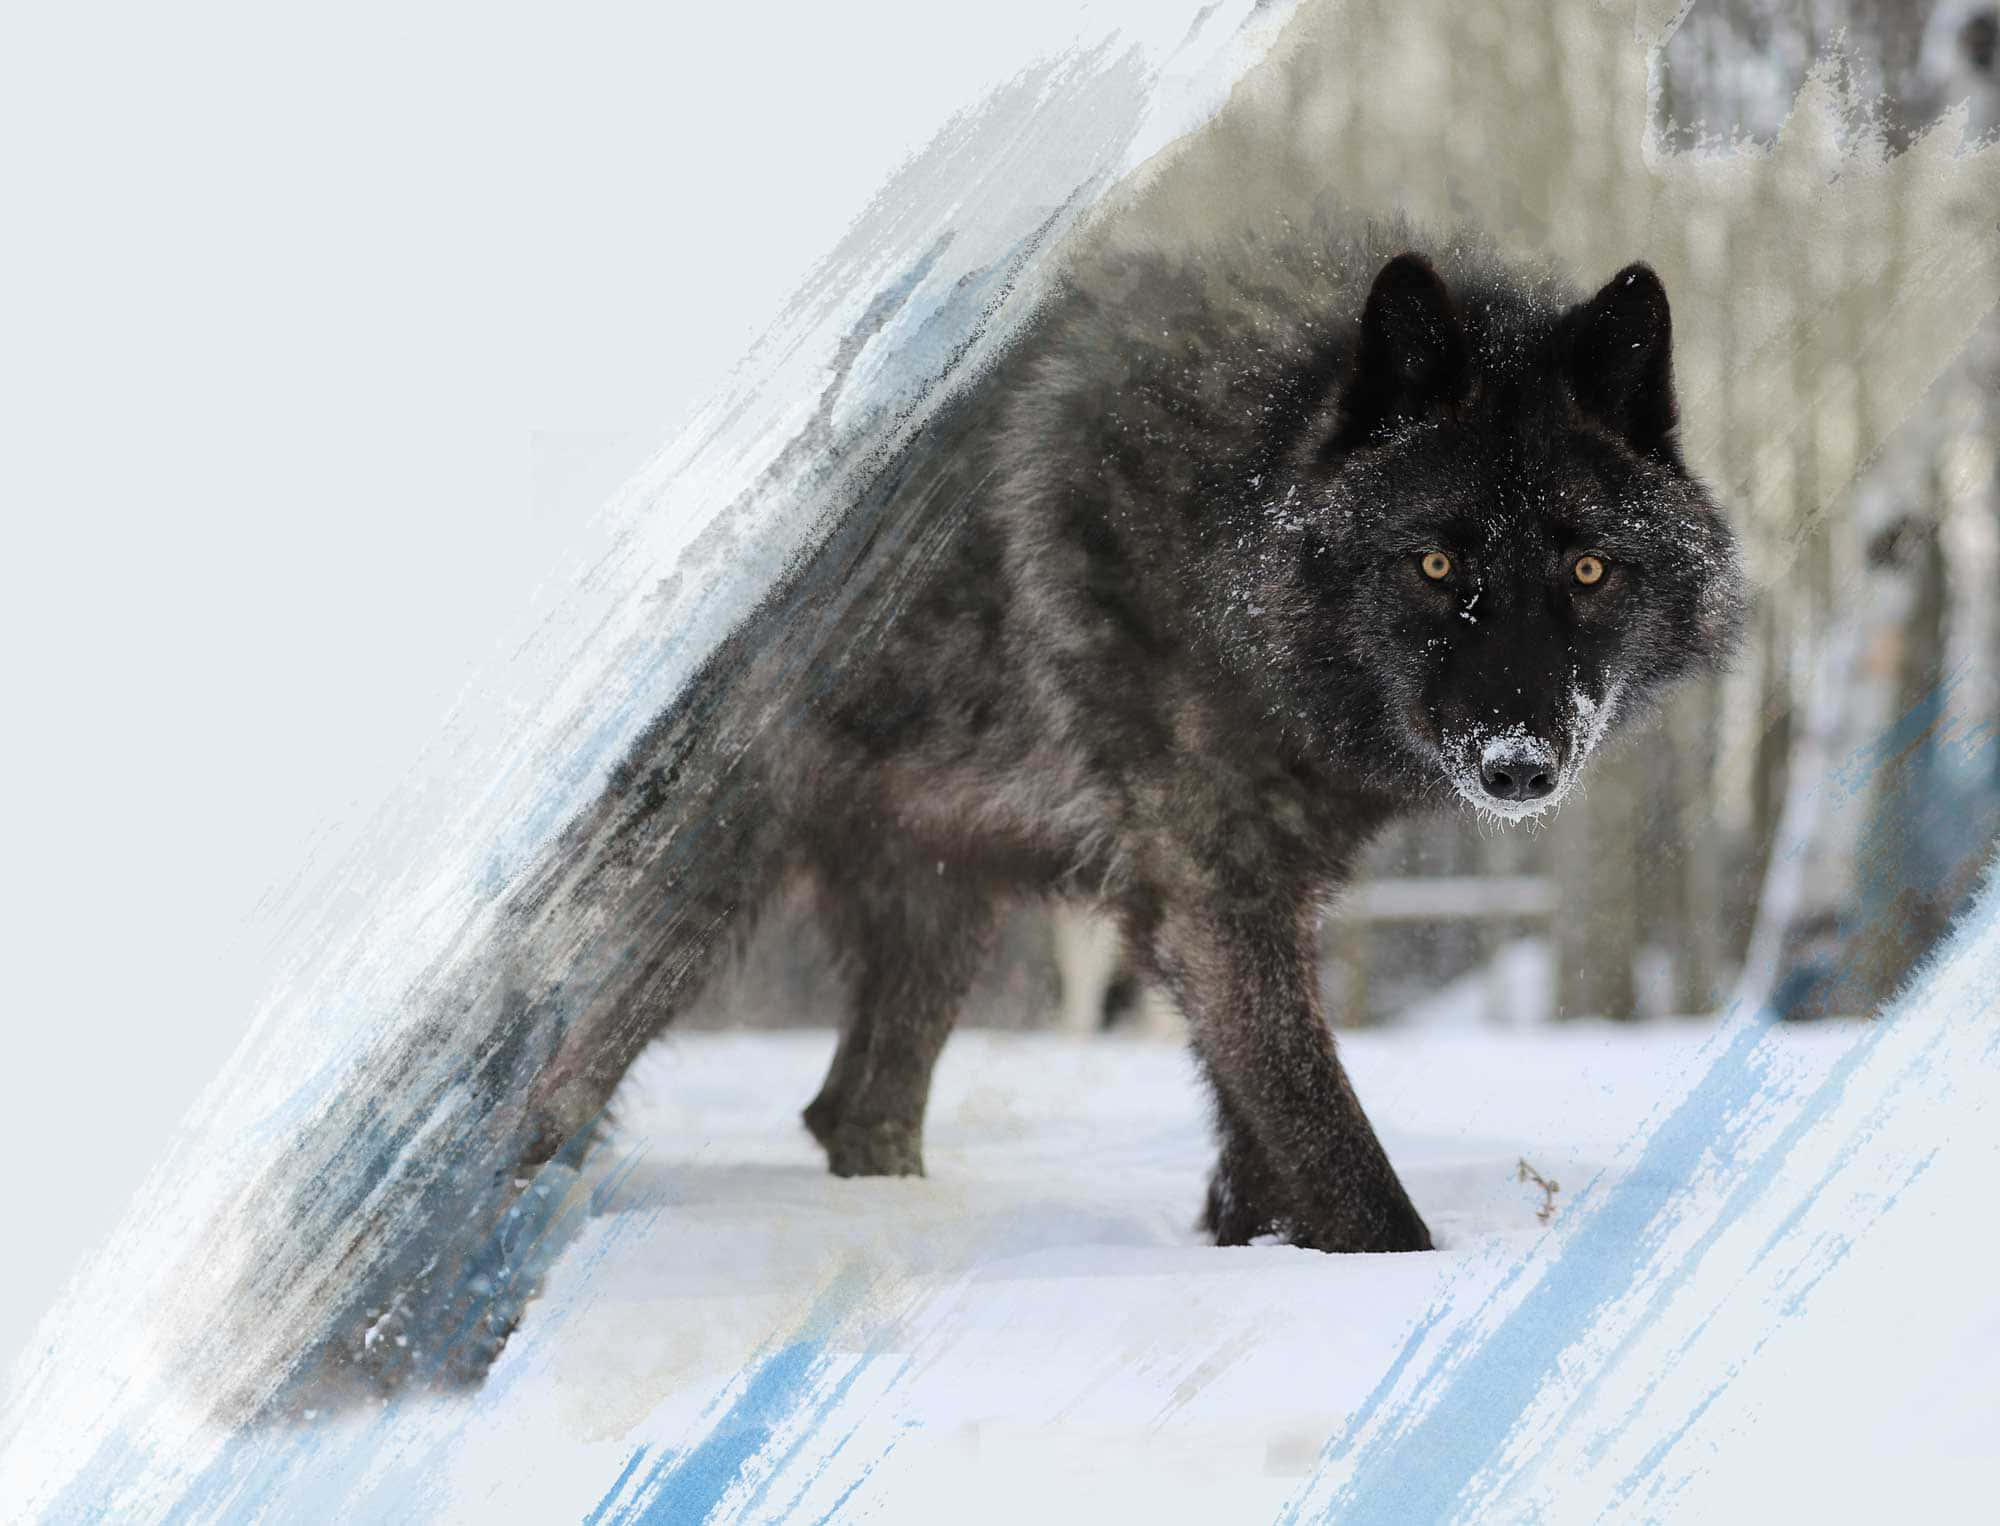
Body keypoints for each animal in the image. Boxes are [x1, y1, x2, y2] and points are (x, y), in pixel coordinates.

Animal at [259, 213, 1745, 1404]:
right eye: (1434, 562)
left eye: (1591, 568)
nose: (1518, 762)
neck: (1233, 507)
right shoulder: (1216, 897)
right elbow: (1337, 1153)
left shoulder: (1204, 904)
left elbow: (1255, 1143)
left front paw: (1253, 1268)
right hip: (663, 930)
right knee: (487, 1128)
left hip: (936, 910)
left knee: (849, 1111)